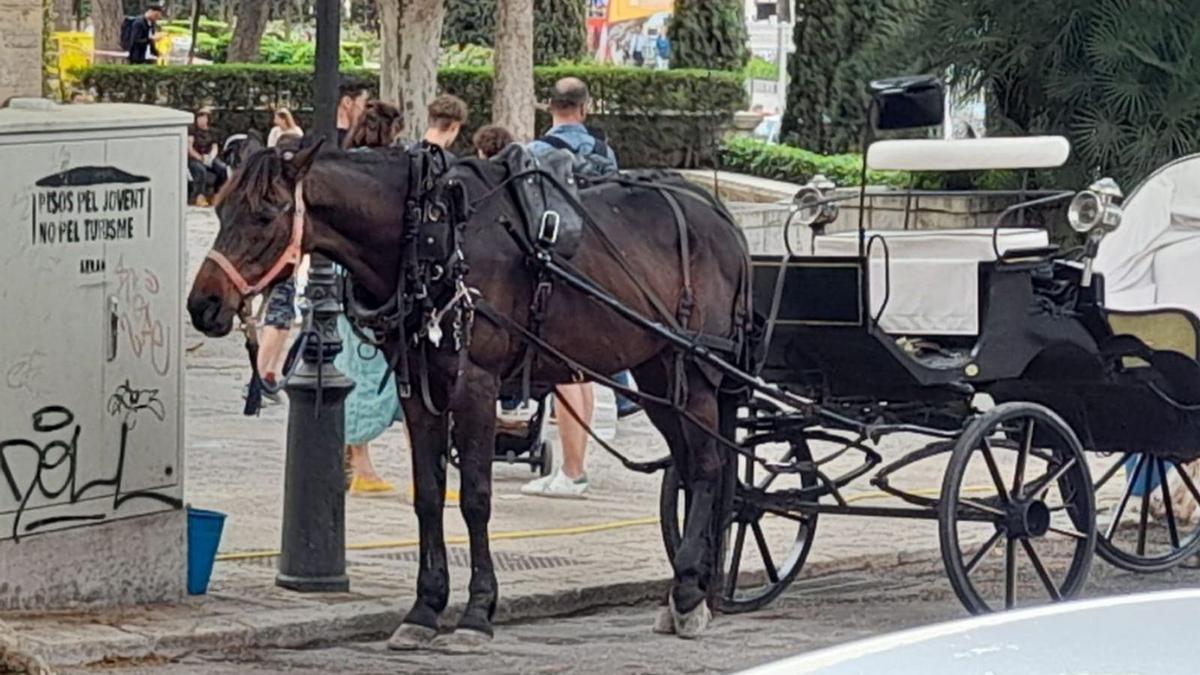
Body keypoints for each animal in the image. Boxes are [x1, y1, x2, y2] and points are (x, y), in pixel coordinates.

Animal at [186, 141, 748, 648]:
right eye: (220, 208)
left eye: (263, 215)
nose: (203, 304)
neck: (429, 233)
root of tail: (720, 214)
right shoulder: (420, 388)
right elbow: (429, 496)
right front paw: (425, 607)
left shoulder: (476, 384)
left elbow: (476, 497)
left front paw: (478, 610)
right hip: (658, 374)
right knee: (691, 465)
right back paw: (691, 586)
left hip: (694, 371)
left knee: (706, 467)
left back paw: (688, 595)